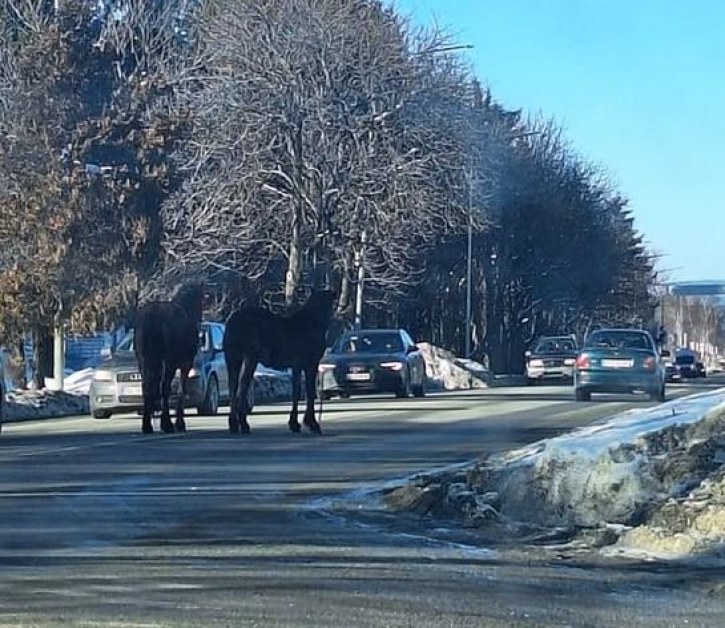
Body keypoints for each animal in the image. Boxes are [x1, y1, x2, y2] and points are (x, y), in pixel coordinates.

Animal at [134, 284, 205, 434]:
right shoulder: (185, 364)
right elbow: (180, 391)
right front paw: (179, 423)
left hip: (144, 360)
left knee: (147, 387)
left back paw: (147, 425)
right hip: (169, 362)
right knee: (164, 387)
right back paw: (167, 424)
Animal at [222, 290, 336, 434]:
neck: (312, 324)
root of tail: (233, 320)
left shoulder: (299, 365)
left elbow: (299, 392)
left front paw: (297, 423)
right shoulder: (309, 363)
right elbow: (307, 392)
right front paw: (310, 424)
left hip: (233, 358)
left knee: (234, 387)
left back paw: (234, 424)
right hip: (249, 358)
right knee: (242, 387)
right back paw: (243, 424)